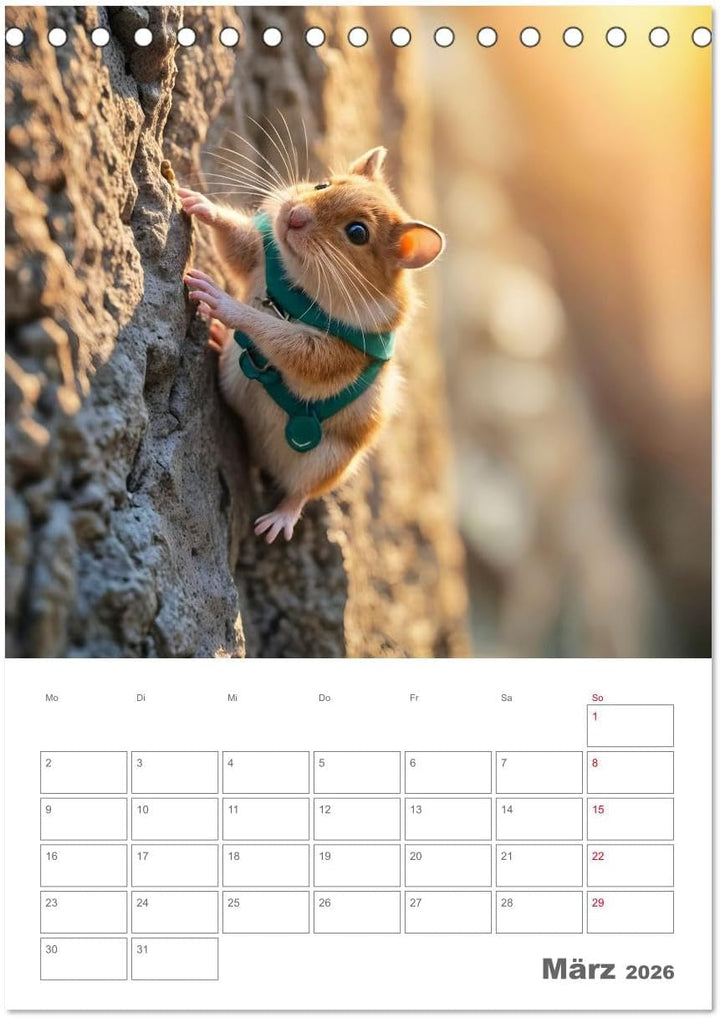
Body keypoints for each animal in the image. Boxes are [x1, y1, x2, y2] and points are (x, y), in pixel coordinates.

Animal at [180, 146, 444, 543]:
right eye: (323, 184)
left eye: (357, 232)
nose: (294, 216)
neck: (303, 284)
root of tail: (263, 456)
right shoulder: (261, 258)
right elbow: (238, 242)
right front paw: (195, 200)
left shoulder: (332, 352)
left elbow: (277, 334)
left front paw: (218, 300)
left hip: (326, 463)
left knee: (300, 492)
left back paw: (277, 521)